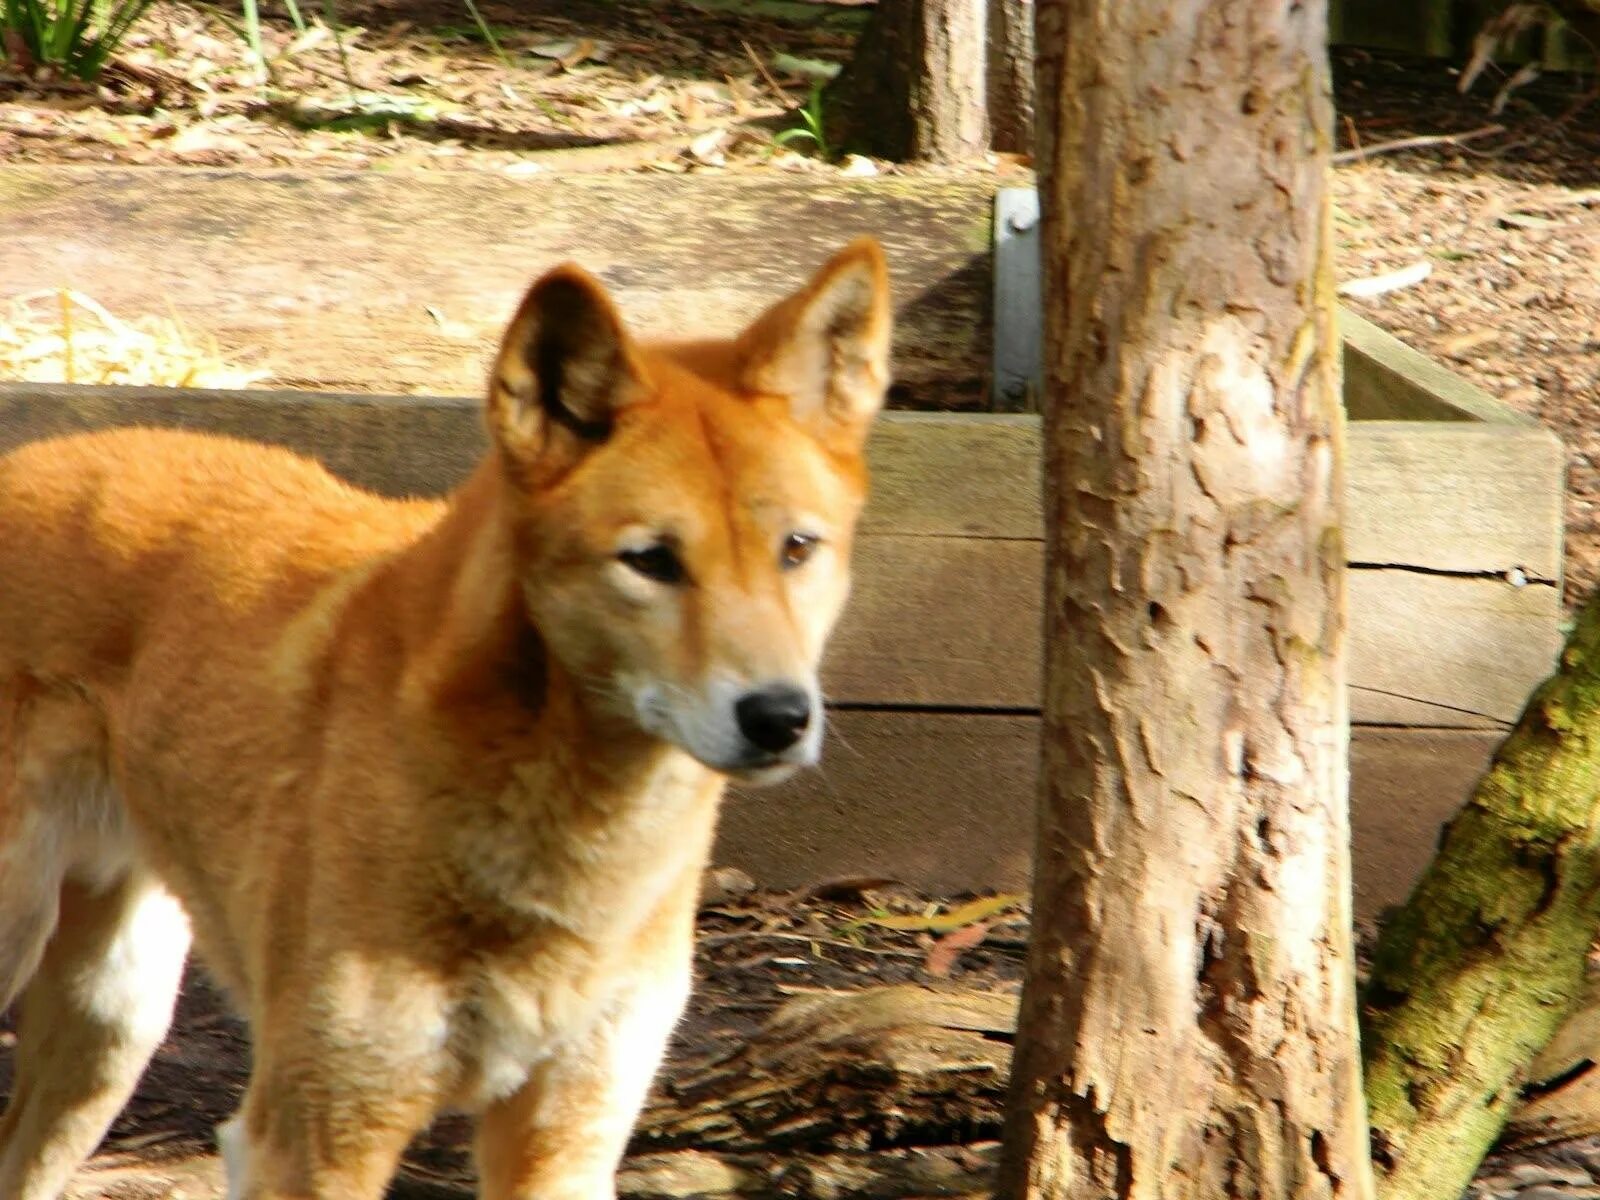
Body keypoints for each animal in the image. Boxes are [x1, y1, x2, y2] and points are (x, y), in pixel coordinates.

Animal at [0, 241, 889, 1200]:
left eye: (797, 549)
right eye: (650, 561)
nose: (779, 716)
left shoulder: (566, 1141)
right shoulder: (315, 1140)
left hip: (109, 1029)